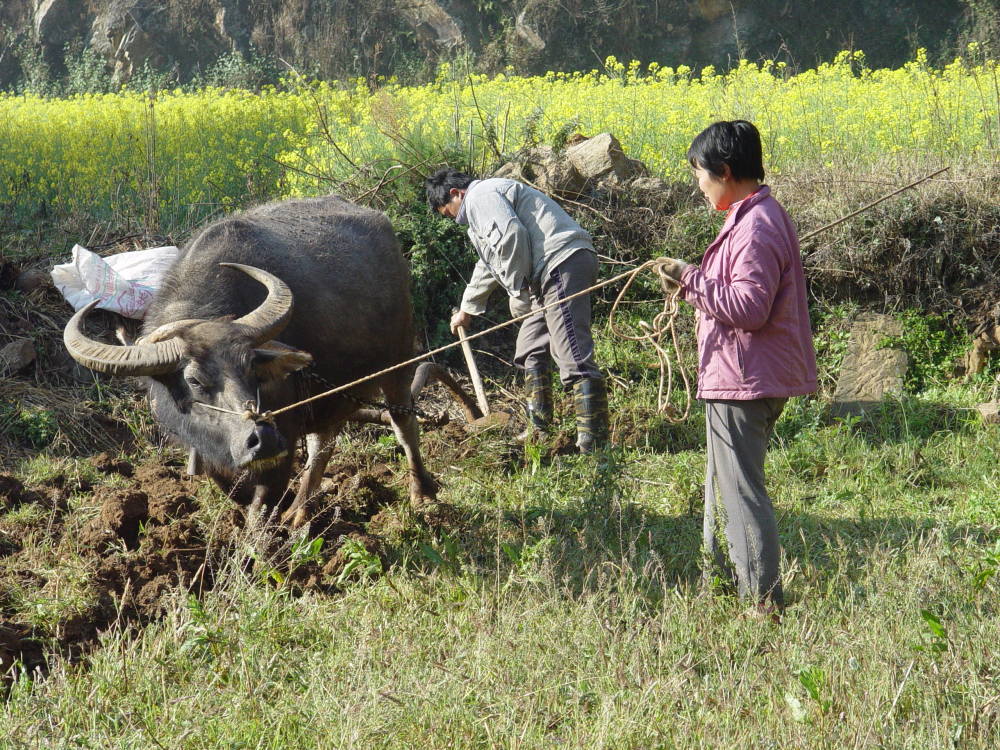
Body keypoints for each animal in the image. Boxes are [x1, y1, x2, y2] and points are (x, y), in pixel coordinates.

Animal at [62, 194, 436, 524]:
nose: (263, 437)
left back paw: (421, 494)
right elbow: (235, 489)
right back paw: (300, 511)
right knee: (323, 443)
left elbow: (262, 507)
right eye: (194, 380)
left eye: (251, 368)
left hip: (399, 363)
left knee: (403, 424)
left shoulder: (284, 437)